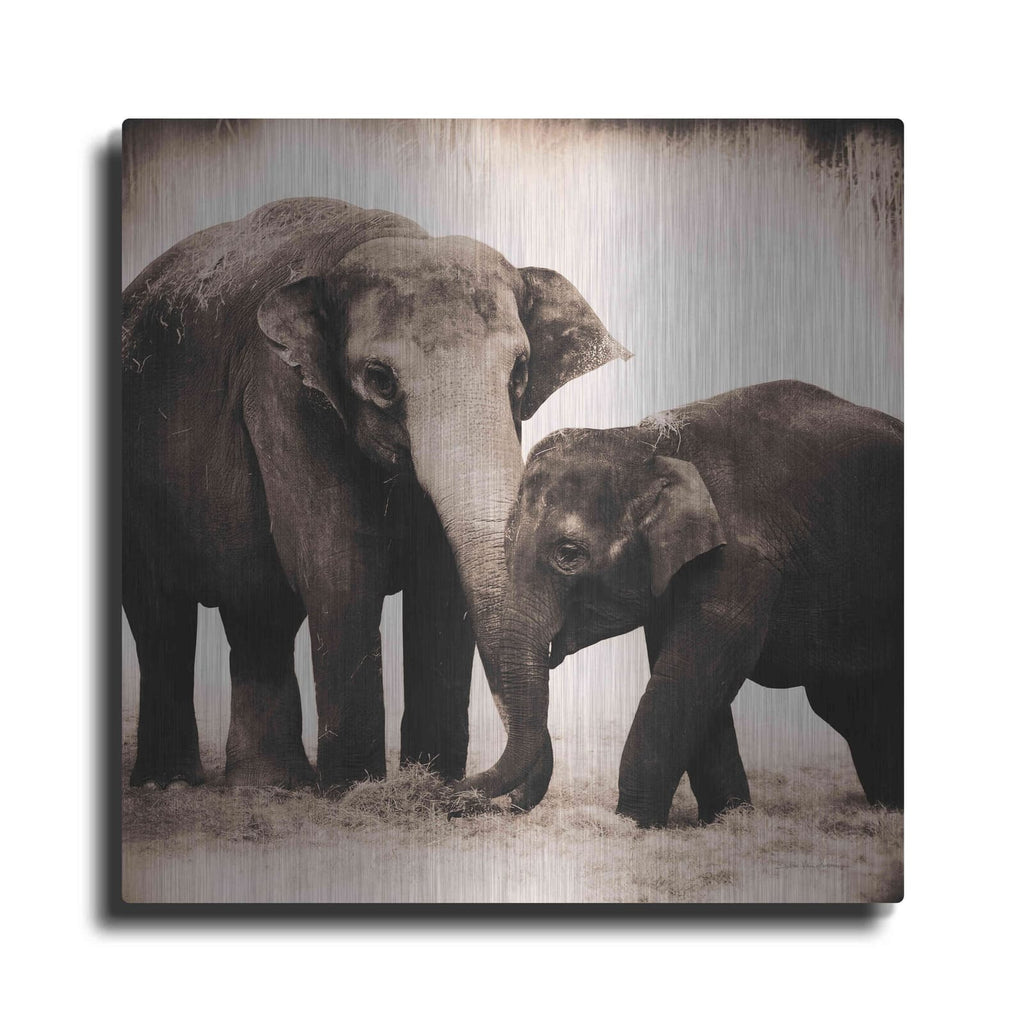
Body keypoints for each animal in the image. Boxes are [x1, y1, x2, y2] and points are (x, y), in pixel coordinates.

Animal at [122, 197, 629, 793]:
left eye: (520, 371)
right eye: (381, 379)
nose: (465, 789)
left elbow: (444, 582)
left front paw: (428, 782)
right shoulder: (284, 394)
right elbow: (339, 567)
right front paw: (354, 792)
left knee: (256, 611)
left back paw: (268, 787)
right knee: (162, 616)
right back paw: (175, 784)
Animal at [463, 381, 903, 827]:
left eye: (568, 554)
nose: (459, 794)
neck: (652, 444)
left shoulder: (741, 560)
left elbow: (686, 675)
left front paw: (632, 824)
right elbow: (692, 679)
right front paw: (725, 820)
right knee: (852, 709)